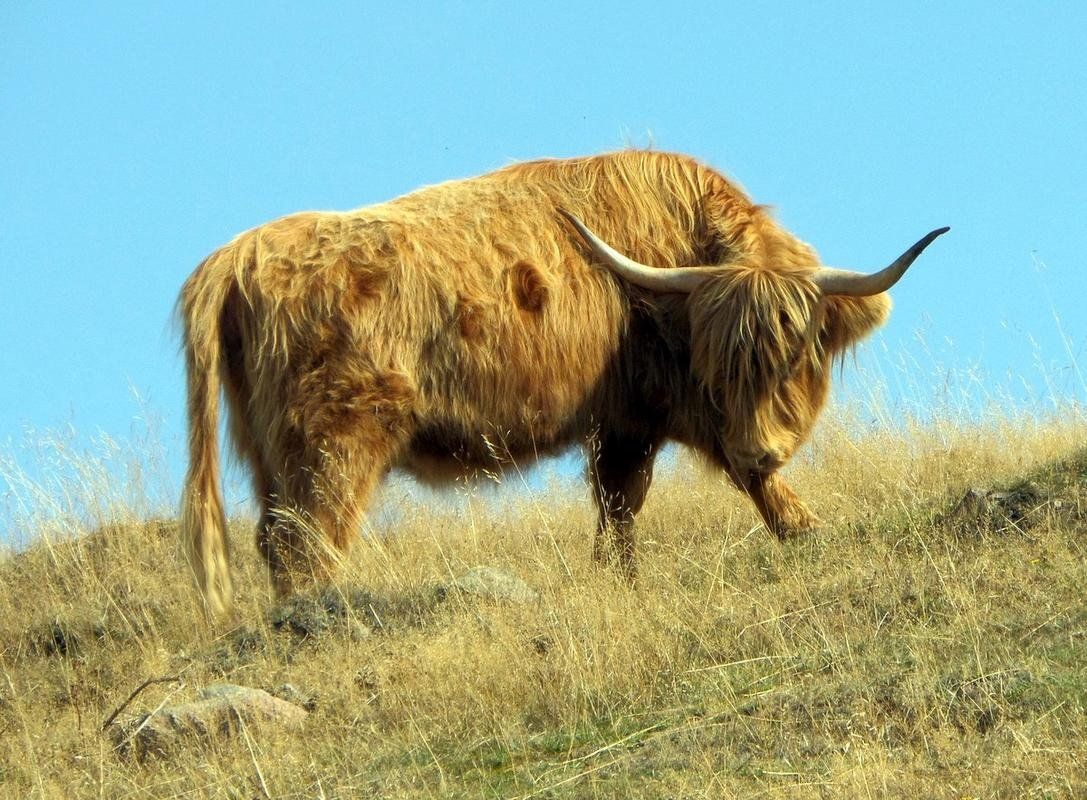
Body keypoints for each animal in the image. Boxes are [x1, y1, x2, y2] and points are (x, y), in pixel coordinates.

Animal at [179, 150, 947, 615]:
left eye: (793, 357)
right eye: (722, 366)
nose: (762, 443)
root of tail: (237, 253)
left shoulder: (629, 421)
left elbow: (626, 507)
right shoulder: (646, 418)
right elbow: (650, 494)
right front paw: (806, 528)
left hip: (270, 456)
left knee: (273, 540)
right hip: (334, 444)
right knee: (308, 542)